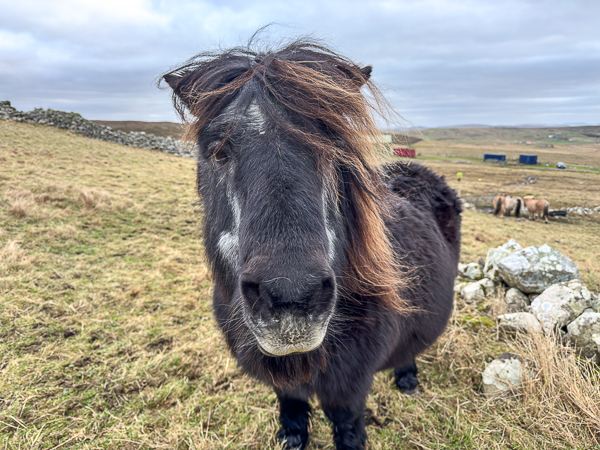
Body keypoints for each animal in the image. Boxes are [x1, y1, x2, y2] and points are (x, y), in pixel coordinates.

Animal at [163, 38, 461, 450]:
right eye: (218, 152)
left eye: (333, 149)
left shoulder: (348, 388)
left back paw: (407, 379)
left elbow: (347, 427)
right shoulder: (284, 382)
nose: (291, 300)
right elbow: (291, 409)